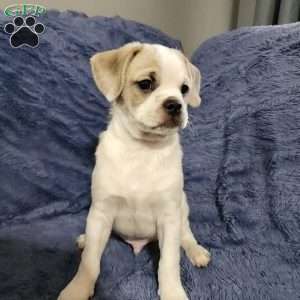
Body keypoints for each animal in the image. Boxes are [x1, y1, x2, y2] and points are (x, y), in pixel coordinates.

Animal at [58, 41, 211, 300]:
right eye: (146, 84)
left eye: (184, 89)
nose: (175, 104)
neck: (142, 150)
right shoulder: (102, 211)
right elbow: (90, 261)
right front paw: (77, 288)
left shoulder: (169, 218)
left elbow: (169, 262)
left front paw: (173, 292)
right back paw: (85, 239)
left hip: (182, 210)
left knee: (186, 234)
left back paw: (196, 251)